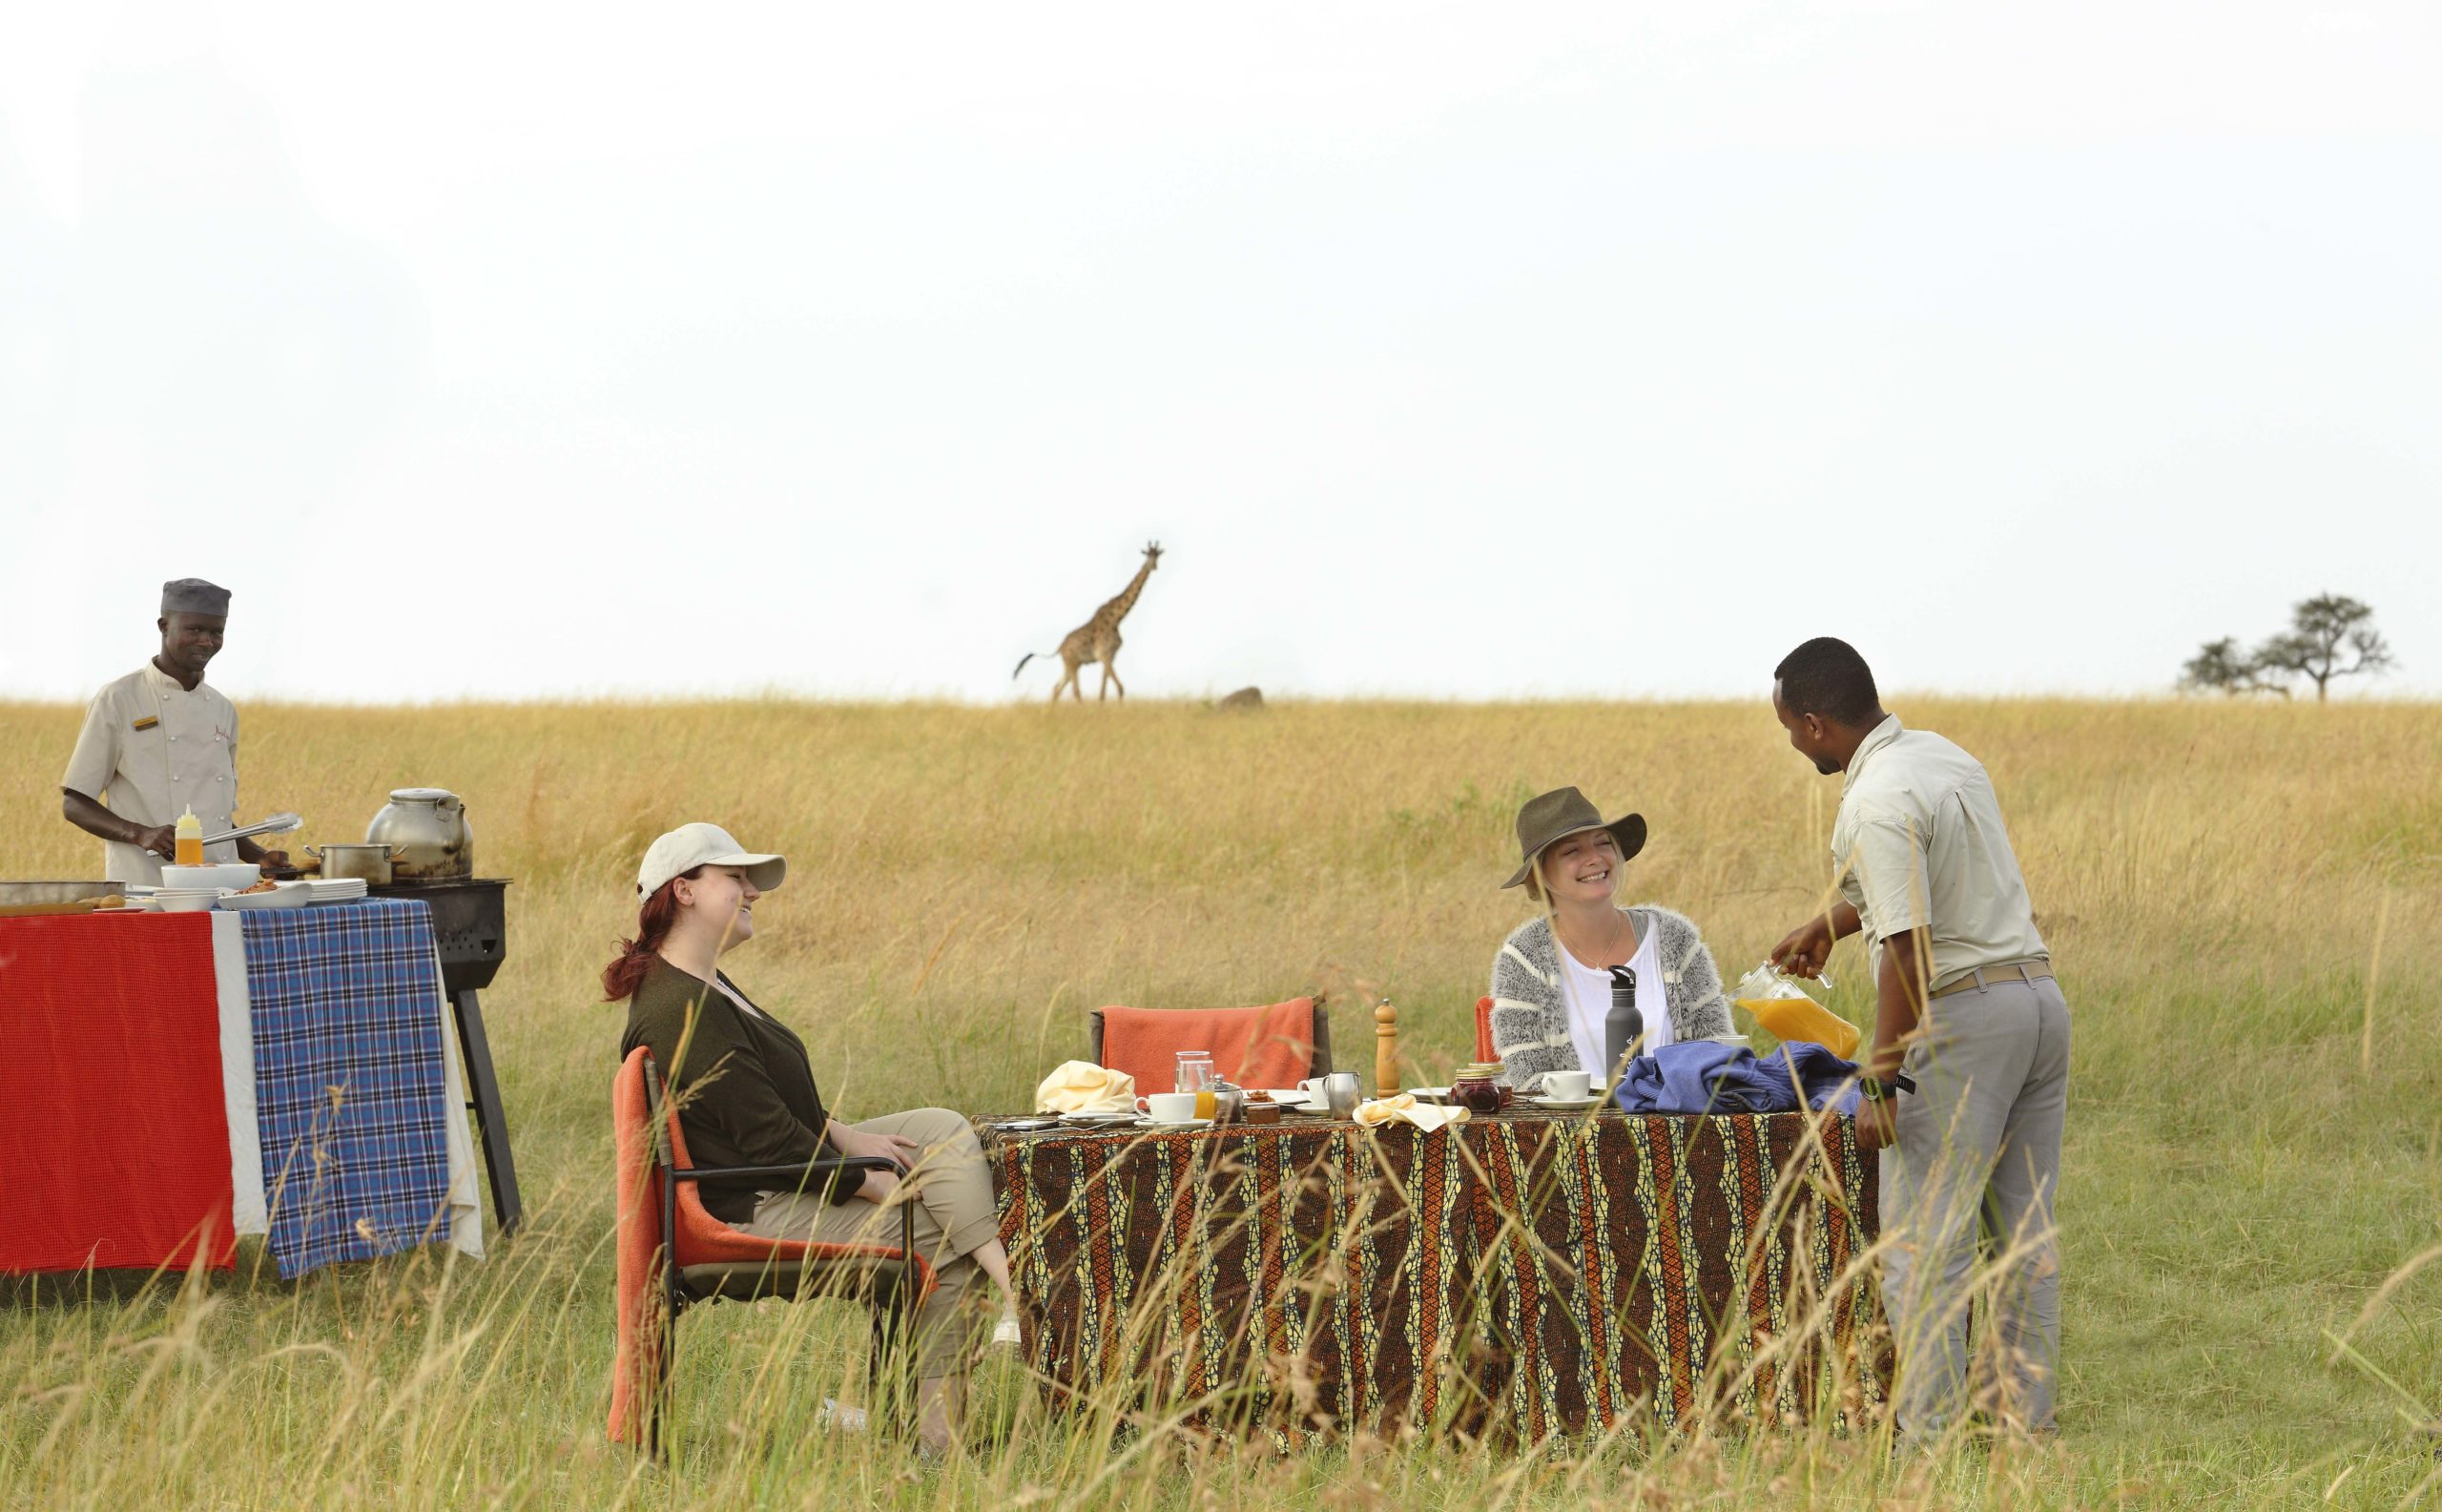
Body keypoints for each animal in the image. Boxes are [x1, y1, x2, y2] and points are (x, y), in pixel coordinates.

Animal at [1010, 545, 1162, 703]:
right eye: (1147, 556)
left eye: (1158, 555)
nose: (1154, 566)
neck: (1117, 619)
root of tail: (1059, 648)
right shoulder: (1103, 654)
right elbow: (1119, 687)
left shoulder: (1110, 656)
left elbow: (1103, 690)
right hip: (1072, 663)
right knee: (1075, 691)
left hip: (1072, 665)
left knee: (1057, 688)